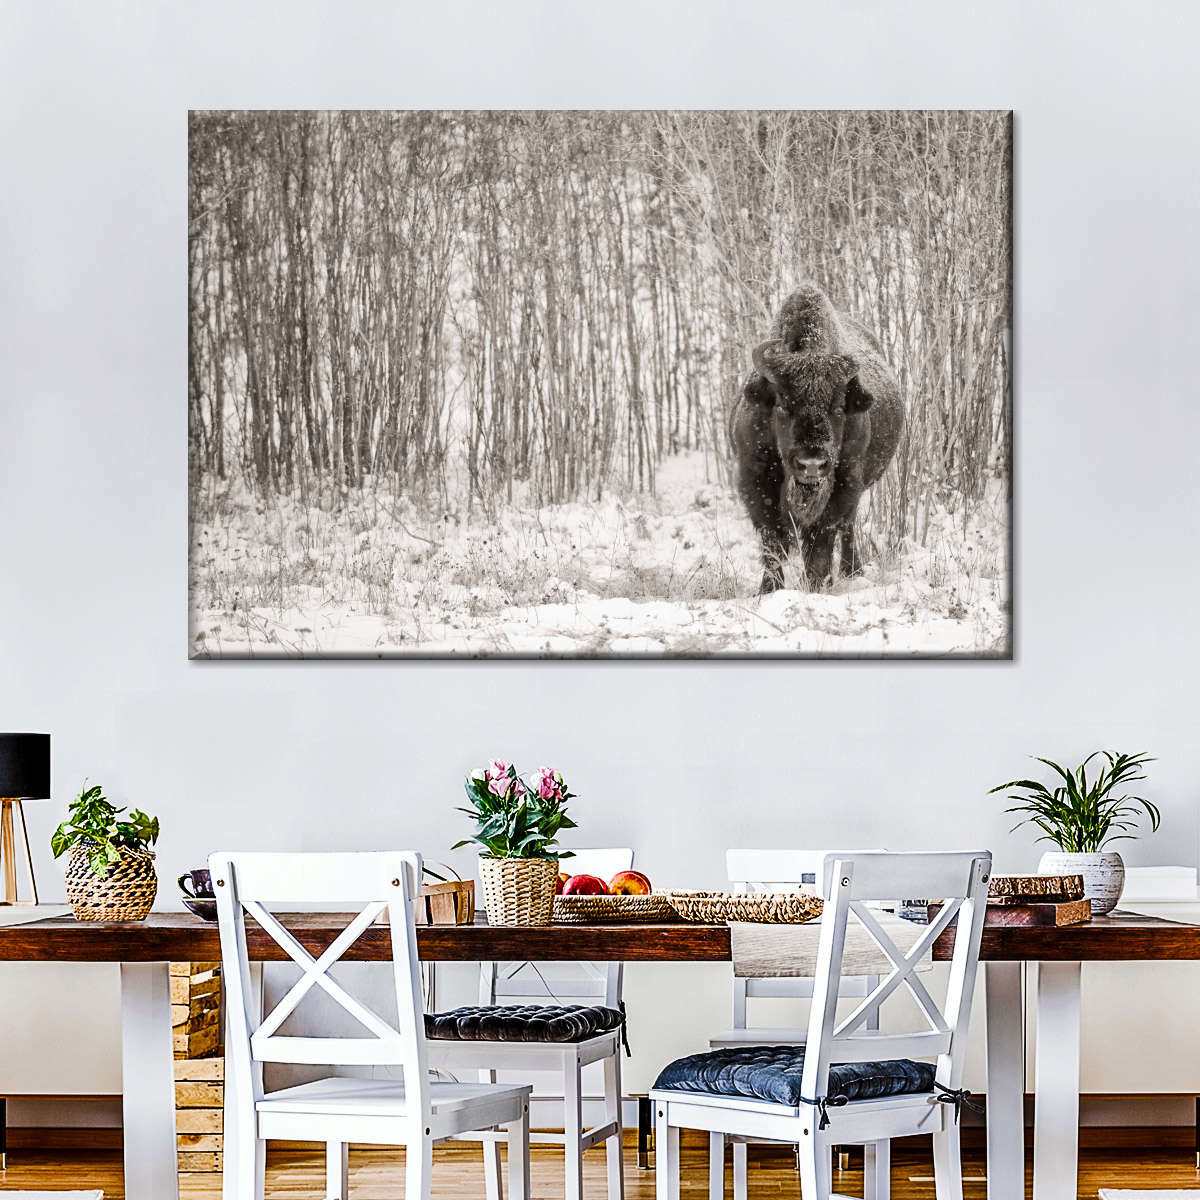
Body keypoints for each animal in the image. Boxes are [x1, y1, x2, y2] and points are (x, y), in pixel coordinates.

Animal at [731, 284, 904, 593]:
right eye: (781, 405)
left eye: (838, 408)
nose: (811, 463)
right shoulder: (754, 480)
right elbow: (772, 540)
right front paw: (769, 589)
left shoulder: (845, 483)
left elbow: (821, 539)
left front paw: (816, 585)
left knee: (847, 528)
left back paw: (851, 571)